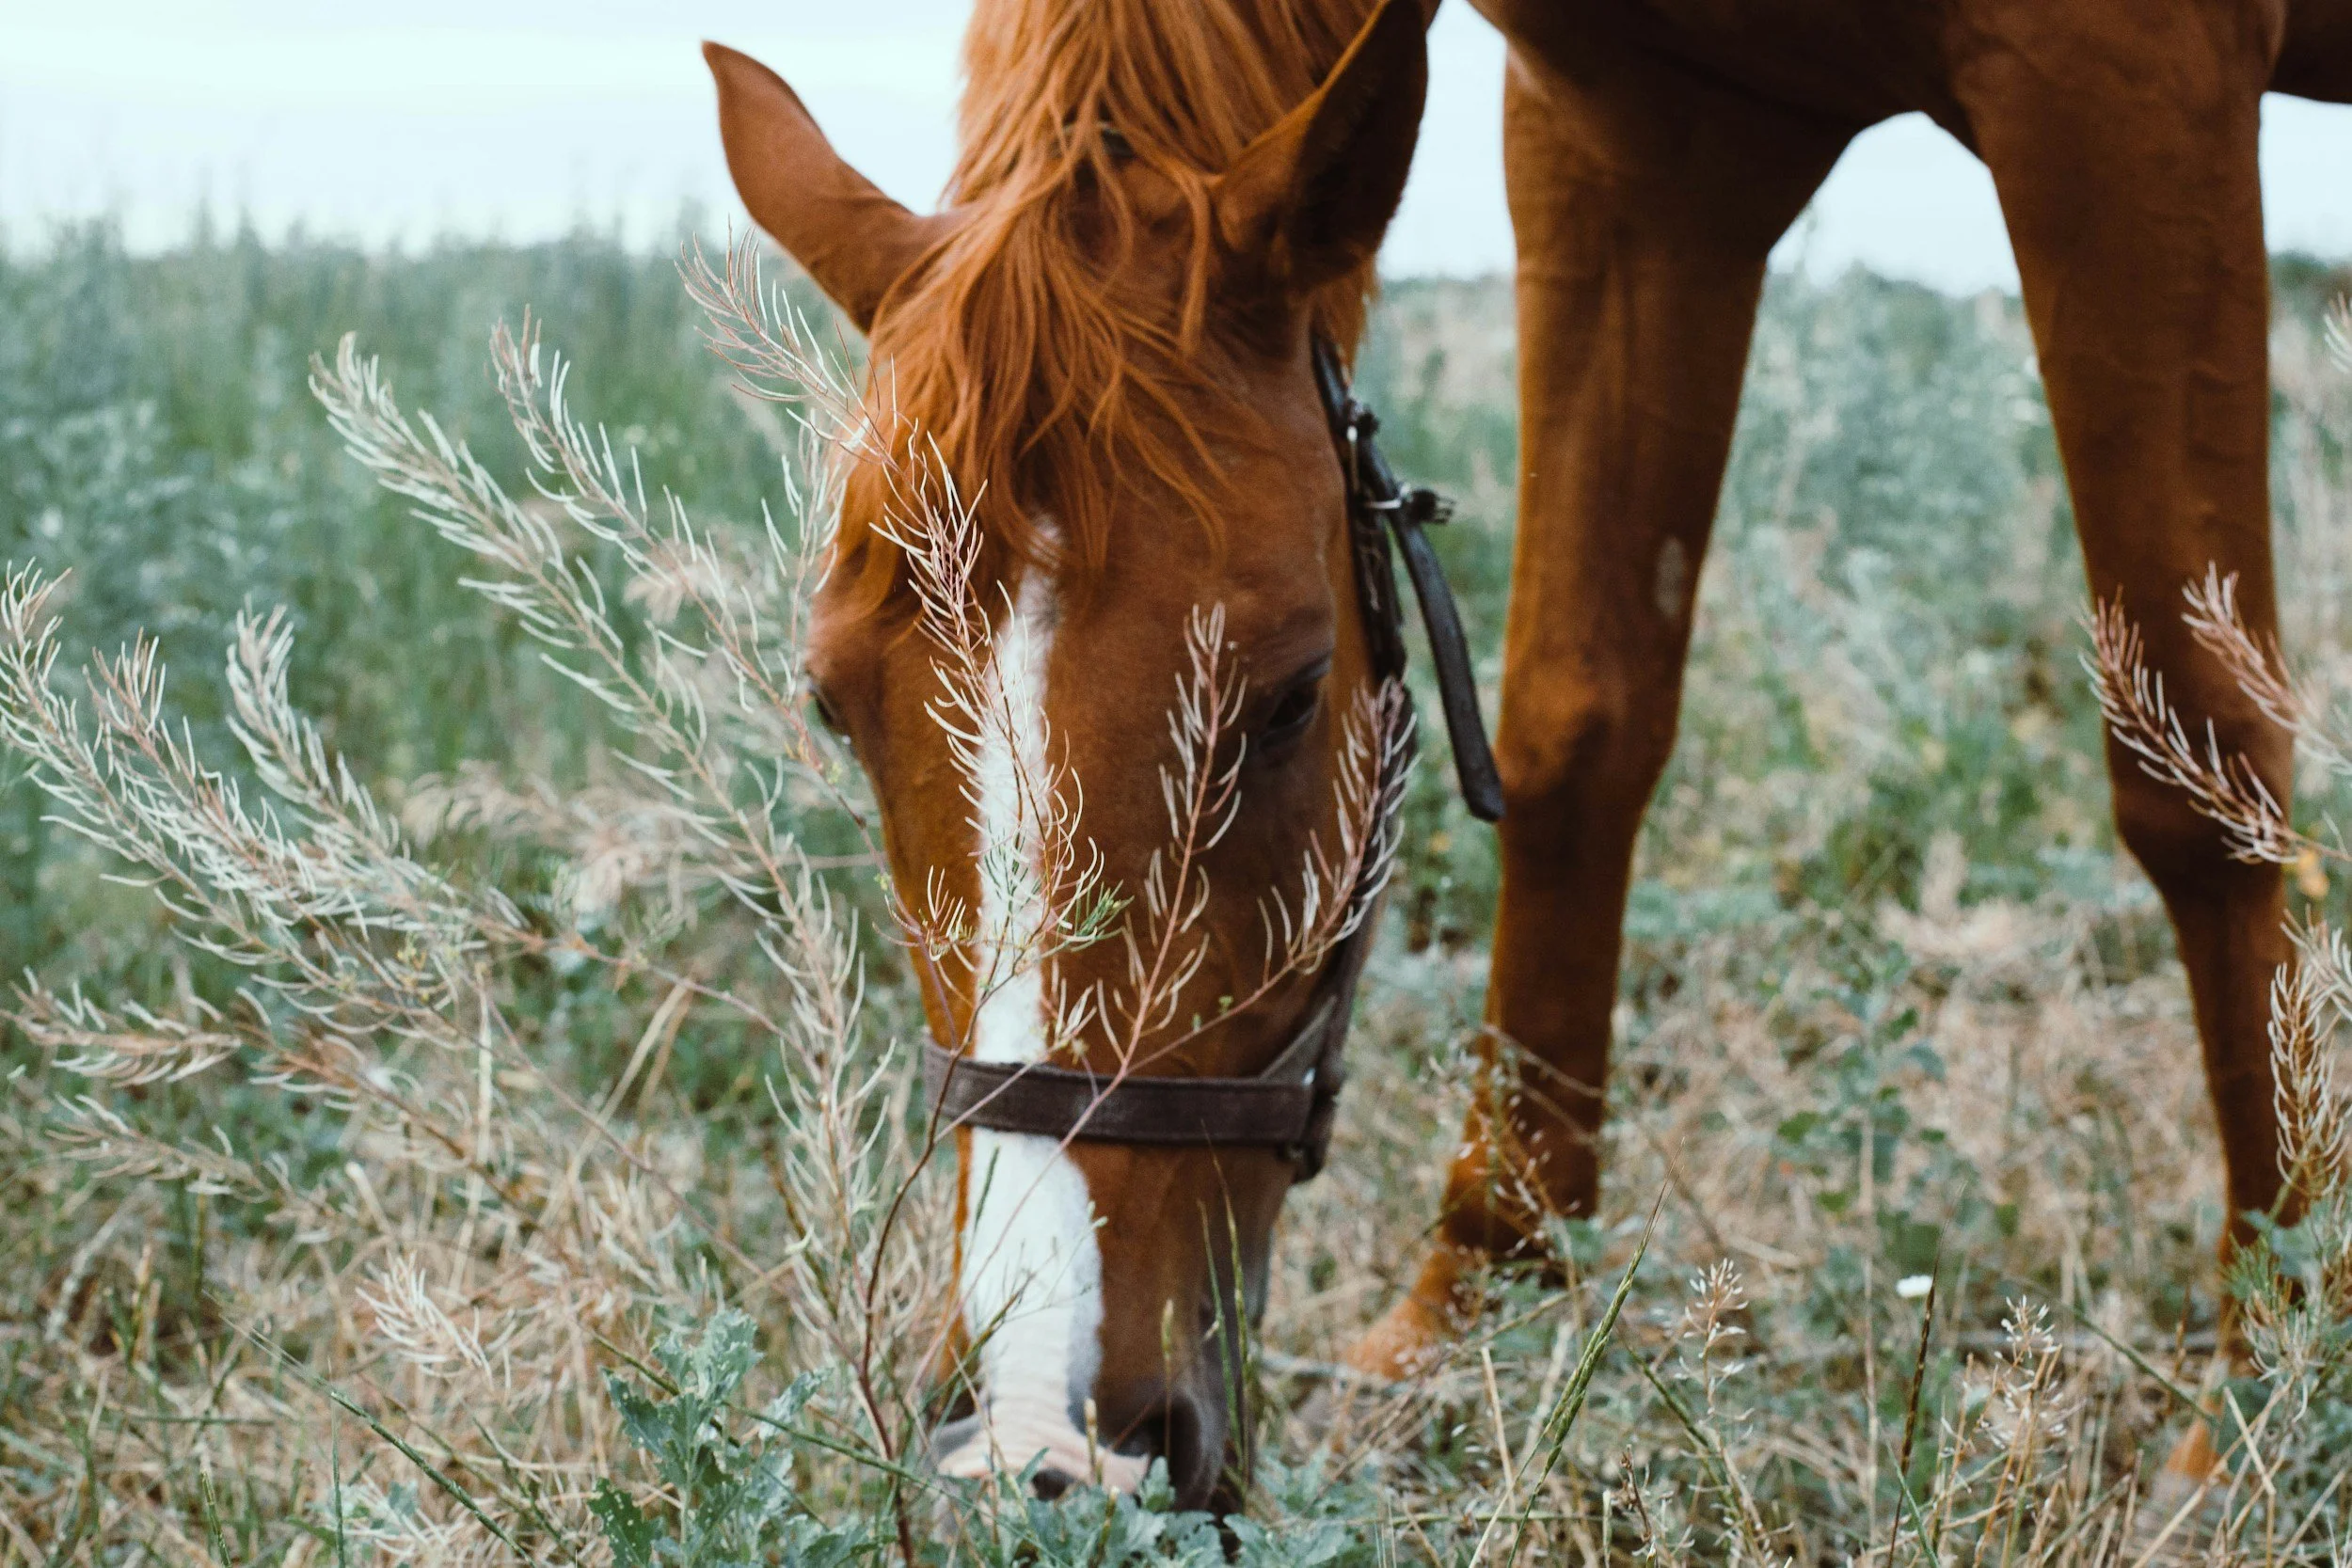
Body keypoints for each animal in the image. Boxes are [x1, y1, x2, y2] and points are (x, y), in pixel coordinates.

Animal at [705, 0, 2352, 1508]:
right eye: (833, 703)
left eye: (1290, 695)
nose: (1038, 1439)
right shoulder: (1637, 144)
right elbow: (1578, 727)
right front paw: (1474, 1299)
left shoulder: (2125, 86)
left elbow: (2199, 760)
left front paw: (2264, 1371)